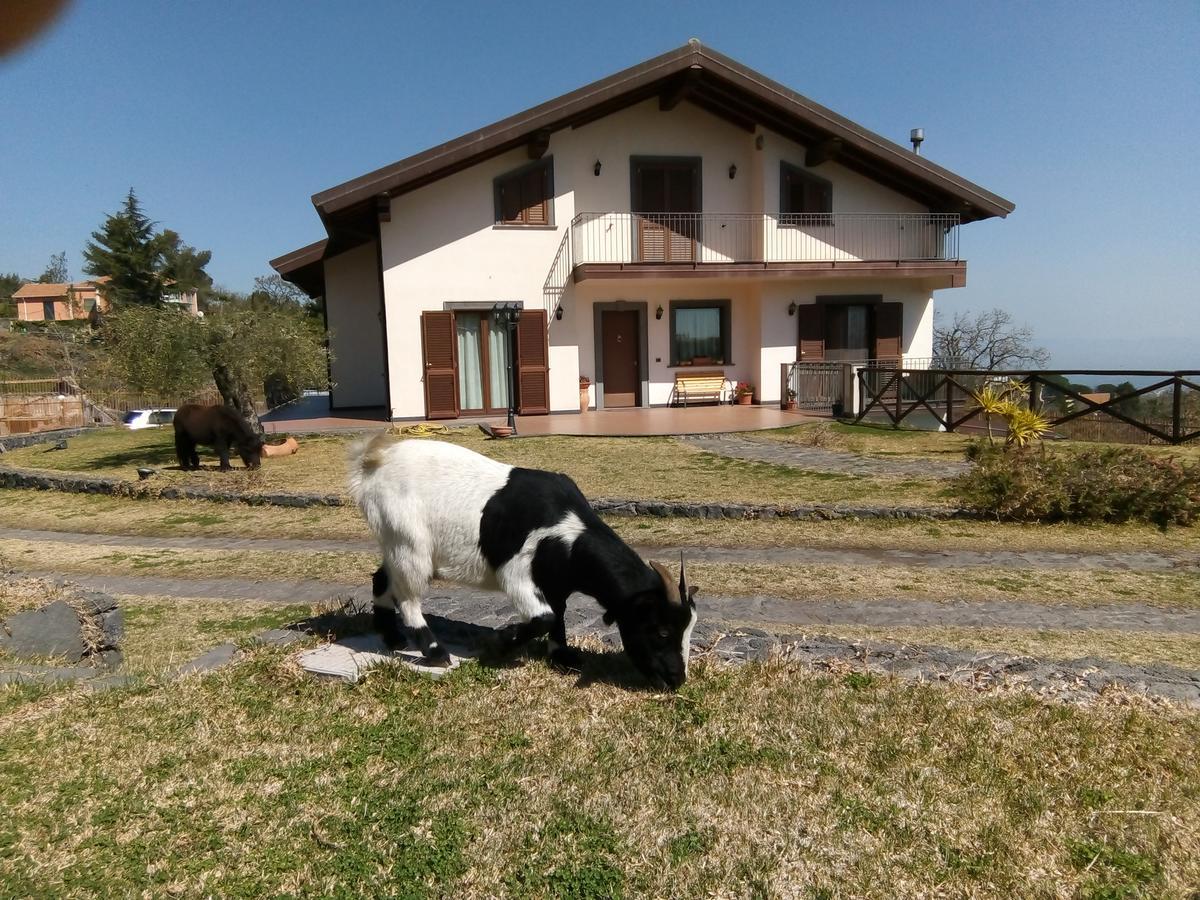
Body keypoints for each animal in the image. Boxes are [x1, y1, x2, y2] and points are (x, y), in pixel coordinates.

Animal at [348, 436, 700, 691]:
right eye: (662, 631)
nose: (677, 680)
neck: (571, 531)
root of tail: (371, 465)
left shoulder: (555, 581)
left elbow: (558, 615)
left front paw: (562, 656)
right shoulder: (516, 572)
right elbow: (544, 617)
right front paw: (501, 644)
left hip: (394, 543)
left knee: (382, 579)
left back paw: (391, 637)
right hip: (409, 544)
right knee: (407, 597)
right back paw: (436, 652)